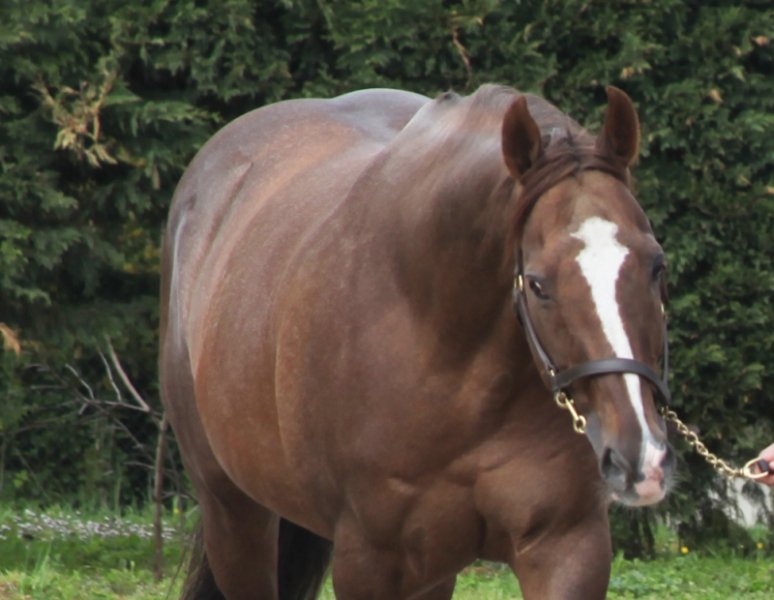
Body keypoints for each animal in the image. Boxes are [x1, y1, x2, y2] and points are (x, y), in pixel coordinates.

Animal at [160, 83, 675, 599]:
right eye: (538, 284)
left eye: (656, 264)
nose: (639, 458)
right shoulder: (369, 561)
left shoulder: (566, 546)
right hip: (234, 516)